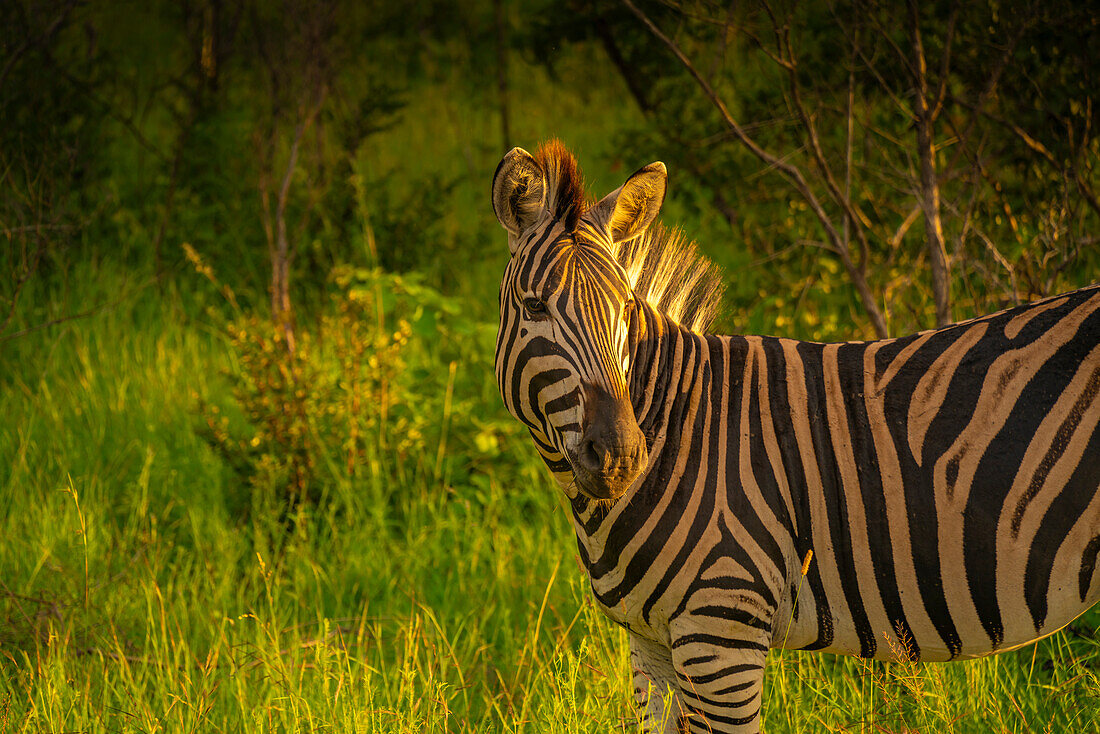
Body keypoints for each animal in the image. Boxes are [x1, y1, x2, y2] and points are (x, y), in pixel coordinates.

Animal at [492, 140, 1100, 730]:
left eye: (625, 309)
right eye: (534, 306)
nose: (620, 458)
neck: (678, 431)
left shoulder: (723, 638)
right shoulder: (651, 646)